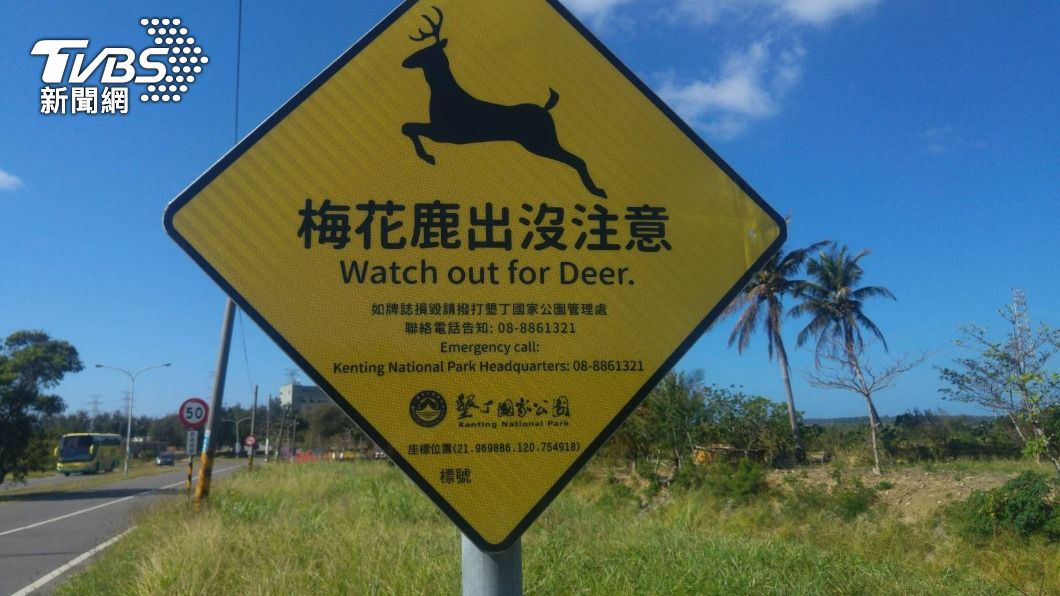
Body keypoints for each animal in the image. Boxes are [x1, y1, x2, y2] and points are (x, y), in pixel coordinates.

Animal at [400, 6, 607, 199]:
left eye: (425, 51)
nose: (404, 62)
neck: (443, 93)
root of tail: (546, 109)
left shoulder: (446, 132)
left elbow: (408, 127)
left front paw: (428, 157)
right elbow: (408, 127)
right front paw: (427, 156)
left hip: (541, 141)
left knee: (577, 160)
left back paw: (598, 191)